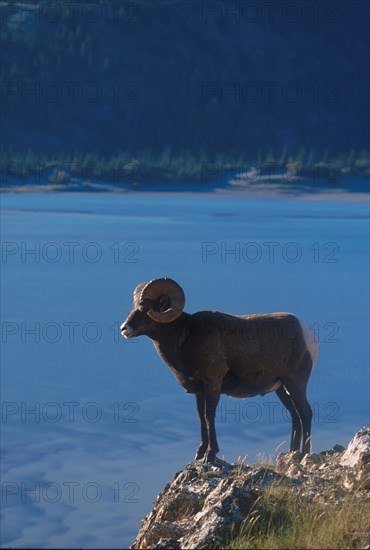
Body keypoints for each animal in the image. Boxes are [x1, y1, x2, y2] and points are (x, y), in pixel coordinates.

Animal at [121, 278, 318, 464]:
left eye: (146, 308)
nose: (124, 328)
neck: (185, 337)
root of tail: (307, 333)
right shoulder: (199, 392)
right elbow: (201, 417)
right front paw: (200, 453)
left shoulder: (213, 384)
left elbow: (210, 416)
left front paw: (210, 454)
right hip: (281, 389)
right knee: (295, 416)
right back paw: (292, 453)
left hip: (295, 383)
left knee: (305, 413)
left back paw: (304, 455)